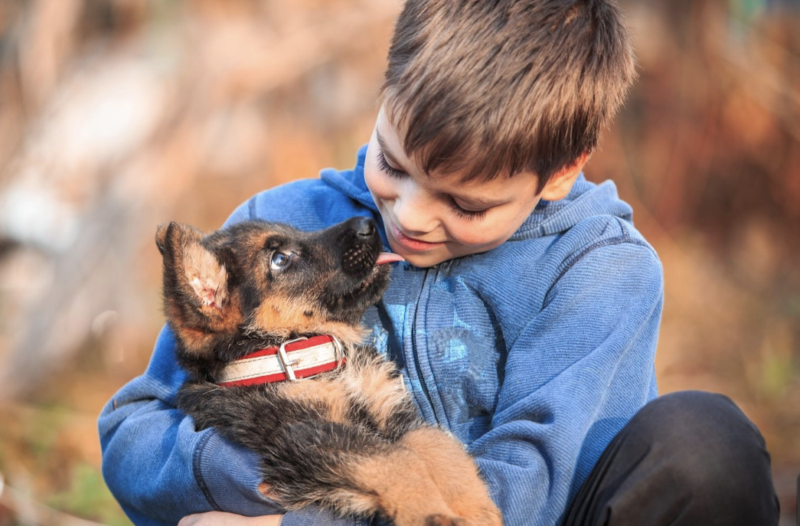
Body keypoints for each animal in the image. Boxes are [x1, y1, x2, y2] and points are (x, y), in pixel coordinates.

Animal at [157, 218, 504, 526]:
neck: (311, 358)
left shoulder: (395, 413)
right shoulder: (304, 434)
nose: (368, 223)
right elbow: (397, 460)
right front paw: (430, 514)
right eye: (280, 259)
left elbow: (439, 447)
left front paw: (476, 511)